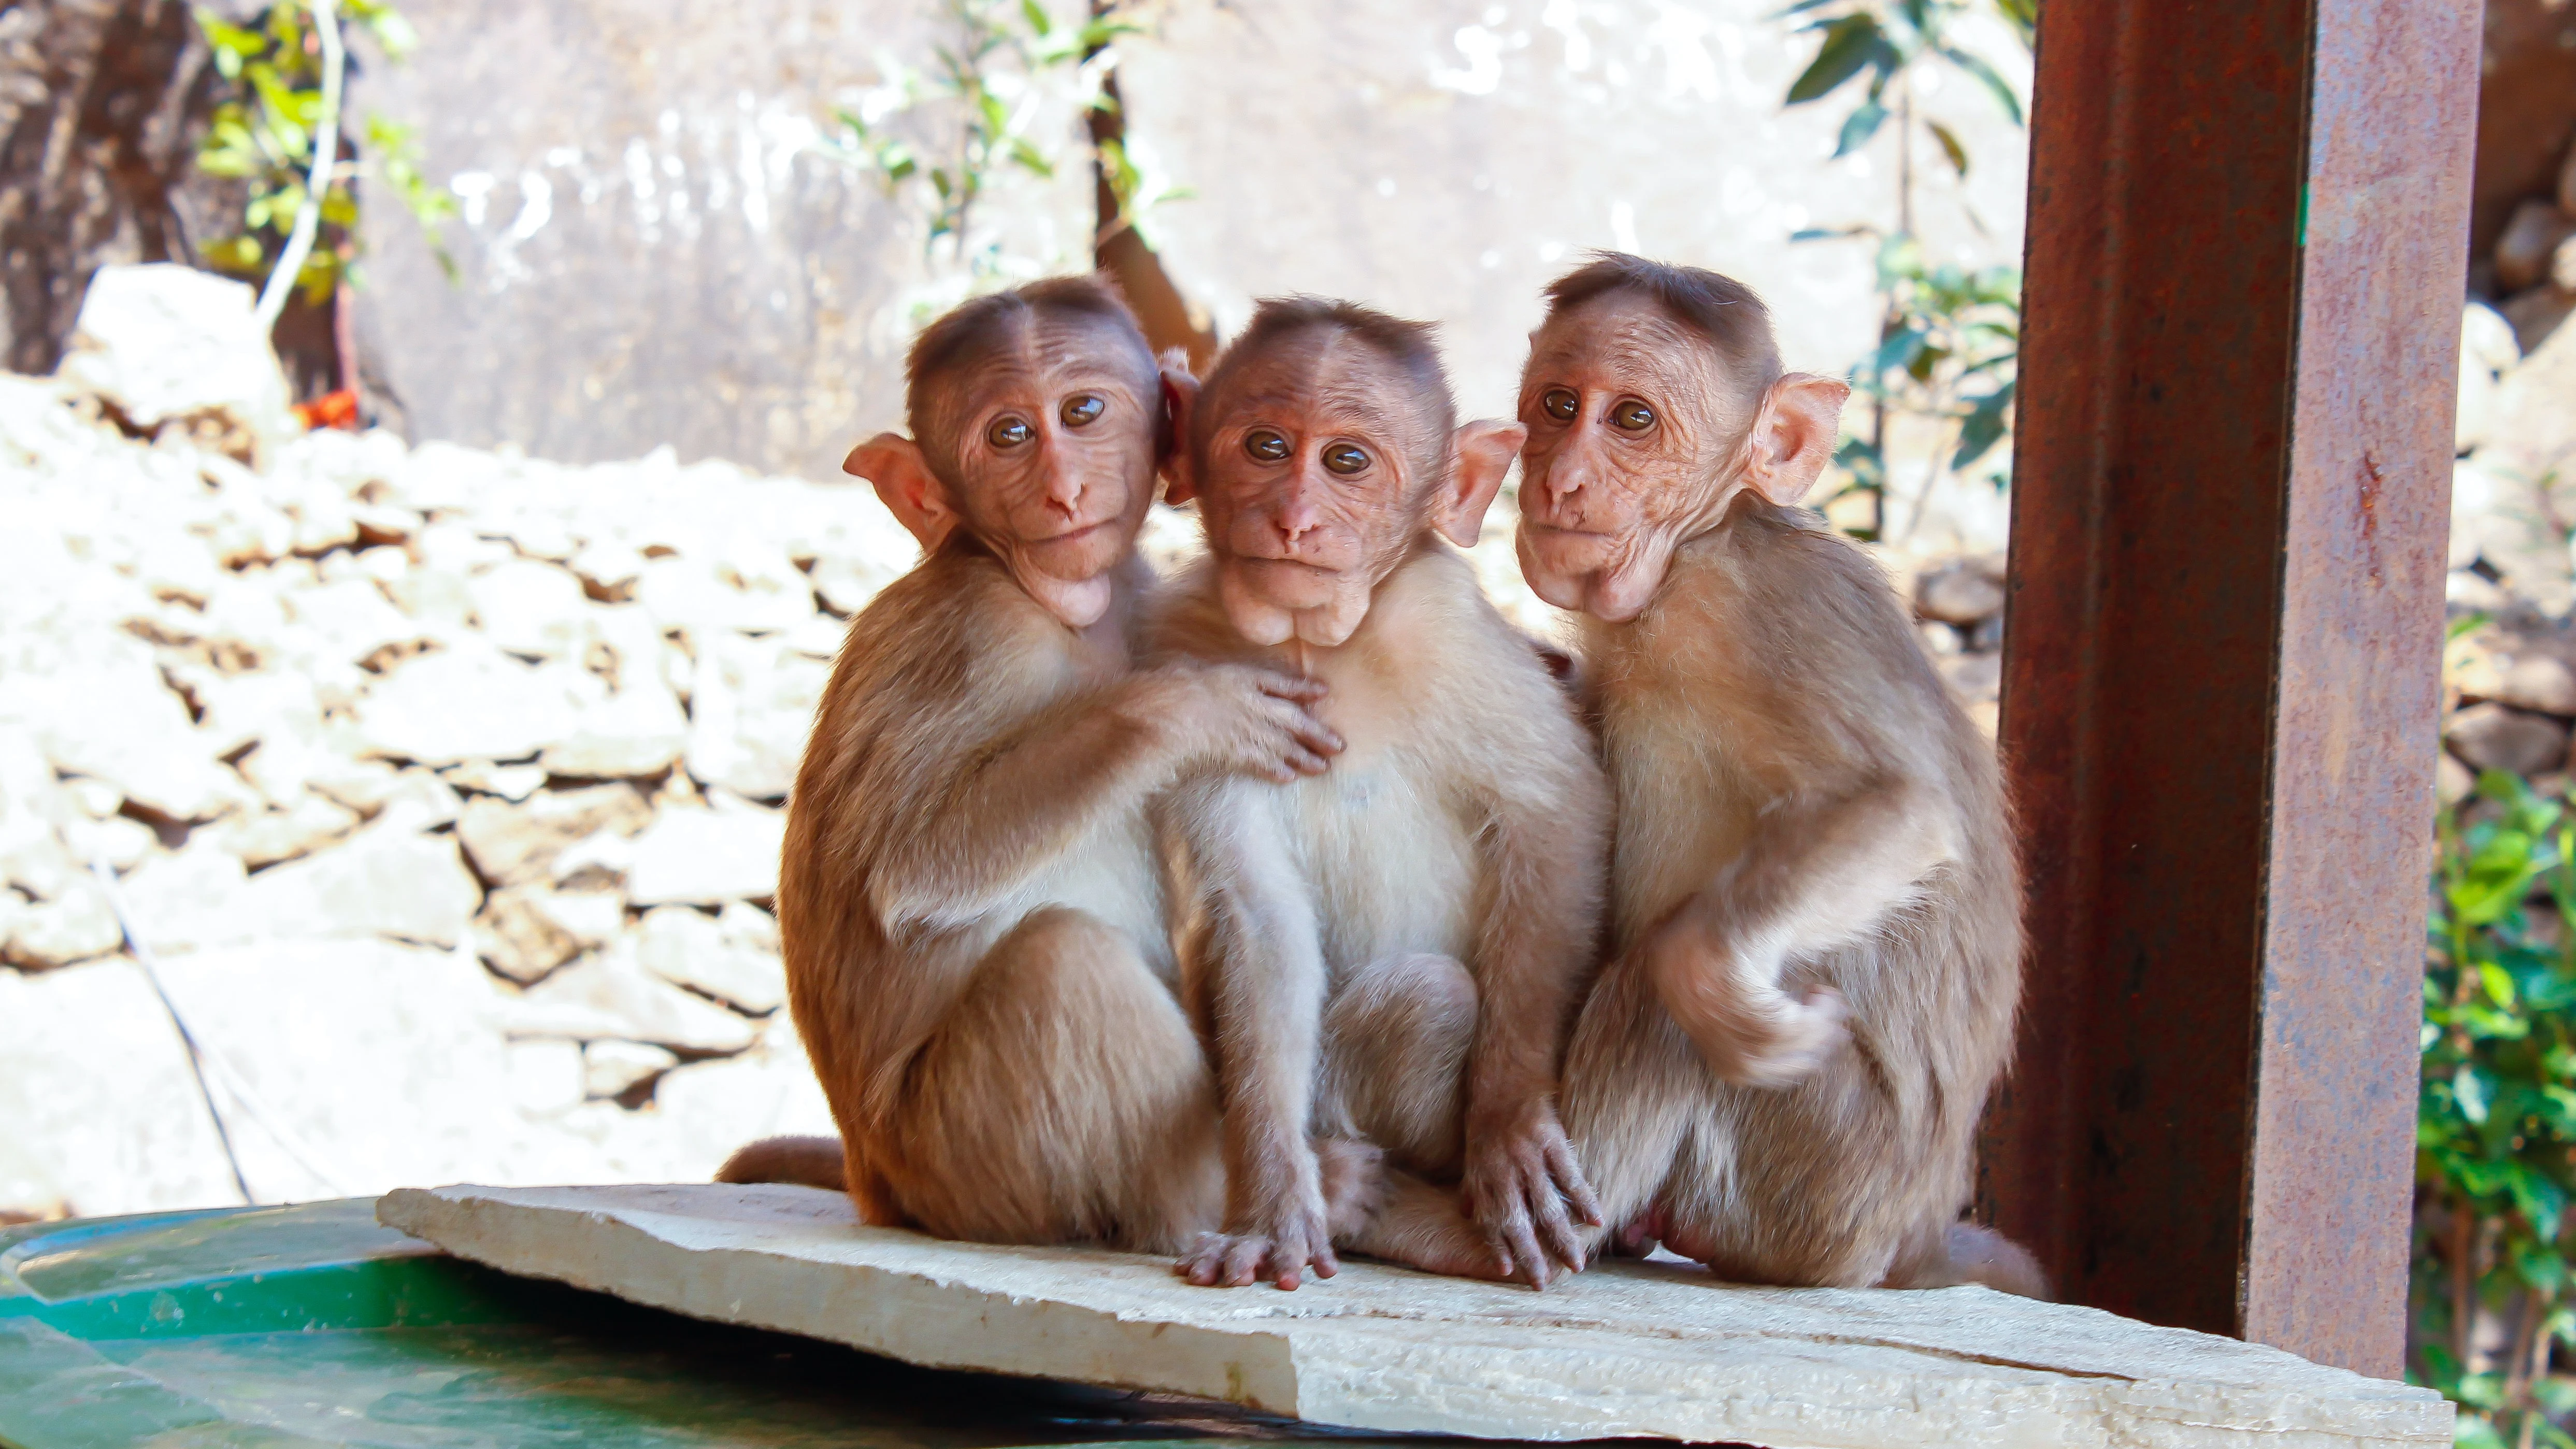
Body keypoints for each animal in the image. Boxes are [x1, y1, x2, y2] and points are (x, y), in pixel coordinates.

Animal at [706, 278, 1350, 1251]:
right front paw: (1188, 708)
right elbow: (908, 869)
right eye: (1008, 434)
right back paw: (1217, 1203)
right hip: (959, 1156)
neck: (1057, 604)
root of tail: (871, 1181)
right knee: (1061, 963)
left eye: (1081, 412)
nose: (1061, 491)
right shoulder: (977, 632)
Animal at [1154, 297, 1607, 1292]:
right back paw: (1341, 1182)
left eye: (1348, 463)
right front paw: (1273, 1202)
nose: (1292, 520)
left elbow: (1553, 816)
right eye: (1266, 446)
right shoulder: (1188, 658)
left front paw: (1510, 1120)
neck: (1312, 647)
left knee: (1428, 996)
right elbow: (1260, 916)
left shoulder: (1444, 626)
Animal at [1514, 254, 2040, 1297]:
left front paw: (1712, 983)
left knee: (1657, 985)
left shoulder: (1758, 607)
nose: (1560, 476)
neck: (1697, 543)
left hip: (1822, 1187)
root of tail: (1911, 1238)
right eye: (1557, 404)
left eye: (1632, 419)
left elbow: (1901, 810)